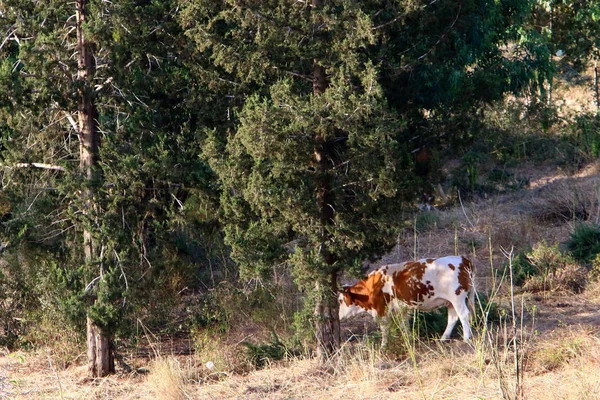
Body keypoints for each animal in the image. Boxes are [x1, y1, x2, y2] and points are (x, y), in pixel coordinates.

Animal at [340, 256, 476, 346]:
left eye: (340, 300)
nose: (339, 316)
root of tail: (463, 259)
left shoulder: (381, 309)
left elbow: (385, 328)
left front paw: (384, 346)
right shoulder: (401, 309)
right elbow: (404, 325)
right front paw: (408, 340)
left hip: (457, 298)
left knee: (464, 315)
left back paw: (466, 338)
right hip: (451, 302)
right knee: (453, 318)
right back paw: (443, 339)